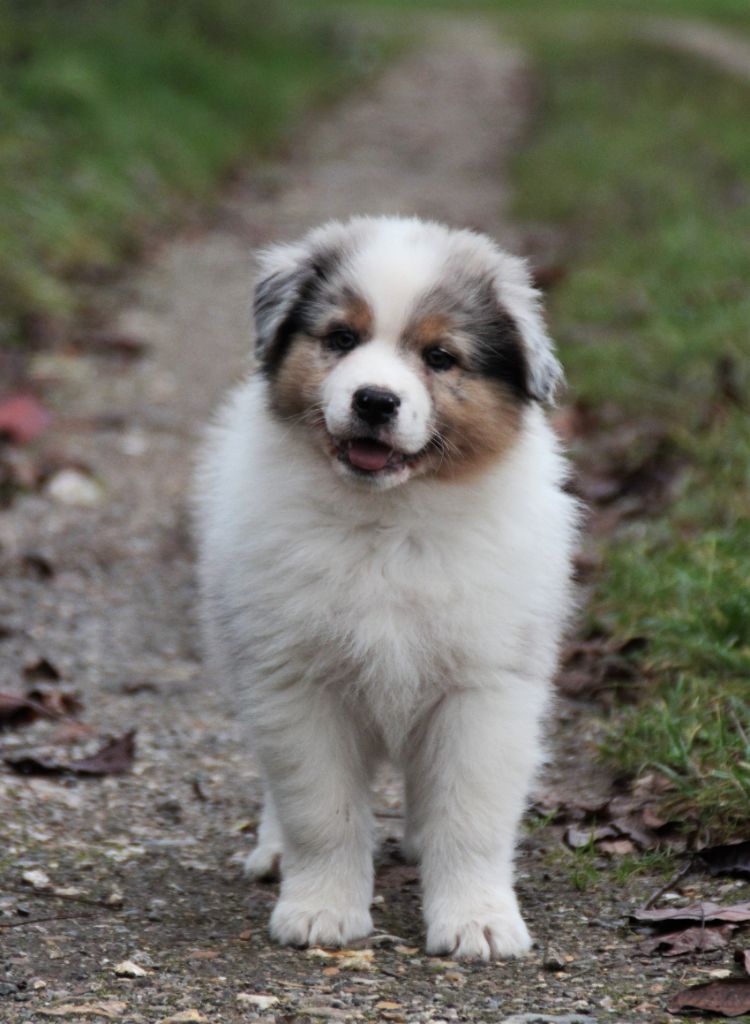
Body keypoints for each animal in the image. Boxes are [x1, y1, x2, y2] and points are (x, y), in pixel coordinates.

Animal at [194, 215, 577, 960]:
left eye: (440, 357)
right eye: (341, 339)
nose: (374, 400)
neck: (390, 522)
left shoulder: (484, 690)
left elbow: (471, 816)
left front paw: (478, 921)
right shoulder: (297, 682)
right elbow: (323, 812)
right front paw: (320, 910)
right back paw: (275, 851)